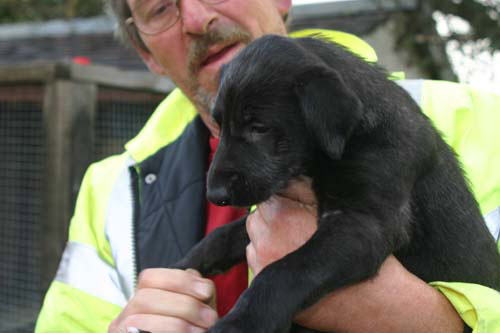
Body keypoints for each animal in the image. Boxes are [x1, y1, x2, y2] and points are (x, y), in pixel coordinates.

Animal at [172, 34, 500, 332]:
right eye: (219, 125)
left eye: (259, 127)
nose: (215, 194)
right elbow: (227, 234)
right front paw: (184, 264)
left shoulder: (362, 223)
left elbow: (287, 269)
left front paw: (240, 322)